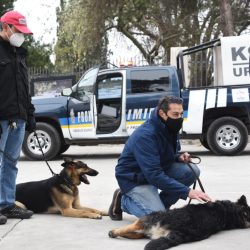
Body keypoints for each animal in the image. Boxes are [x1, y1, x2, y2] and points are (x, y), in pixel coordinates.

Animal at [109, 195, 250, 250]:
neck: (227, 213)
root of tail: (178, 232)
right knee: (138, 233)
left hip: (152, 217)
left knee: (133, 227)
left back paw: (114, 232)